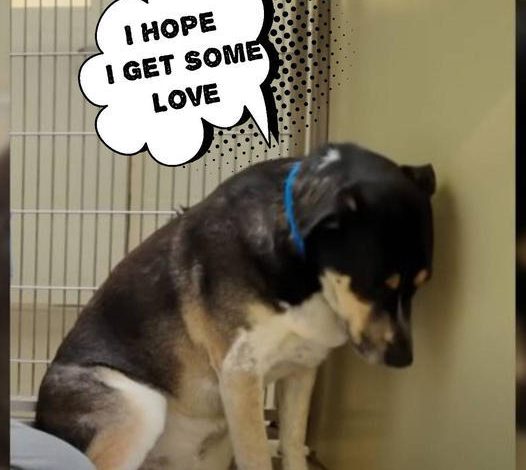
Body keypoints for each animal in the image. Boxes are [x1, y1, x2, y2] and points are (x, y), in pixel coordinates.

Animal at [34, 143, 438, 470]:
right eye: (376, 285)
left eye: (422, 285)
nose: (404, 359)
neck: (304, 274)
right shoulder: (240, 374)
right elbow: (258, 458)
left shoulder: (302, 370)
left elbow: (293, 446)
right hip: (138, 407)